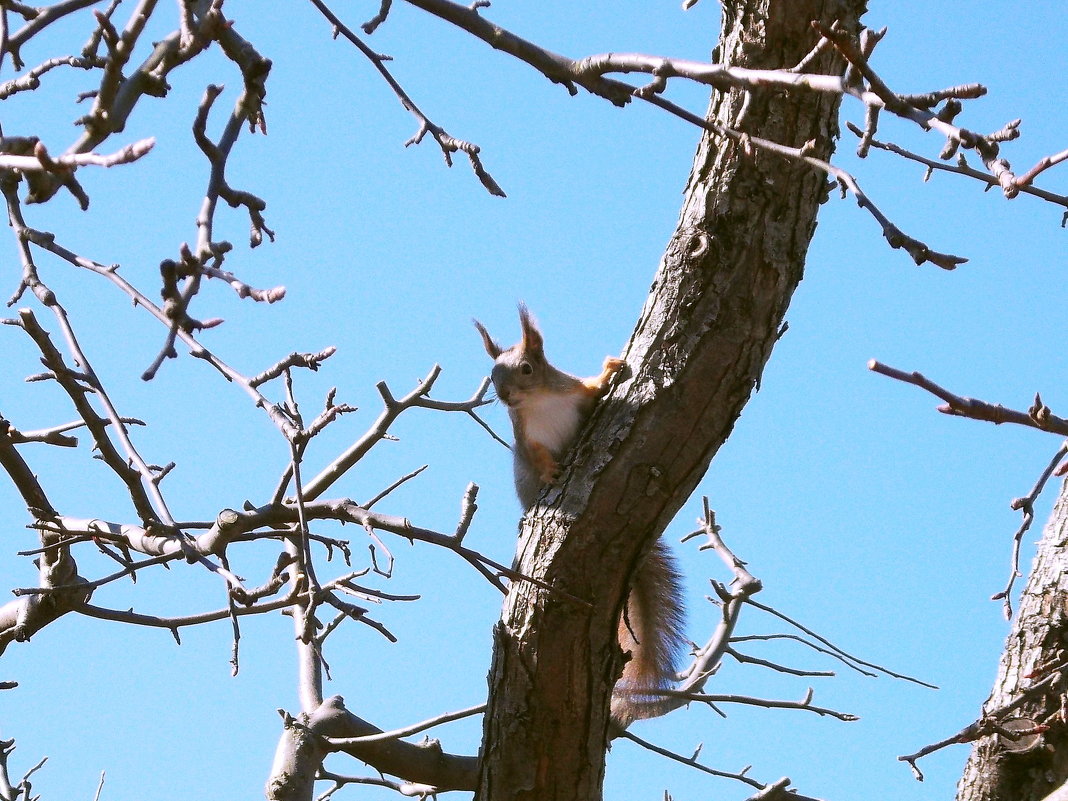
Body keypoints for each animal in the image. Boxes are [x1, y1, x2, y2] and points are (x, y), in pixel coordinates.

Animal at [474, 303, 687, 726]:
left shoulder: (576, 395)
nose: (504, 396)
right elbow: (537, 456)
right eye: (492, 375)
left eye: (527, 368)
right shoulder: (527, 439)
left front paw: (609, 371)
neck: (537, 401)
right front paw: (550, 473)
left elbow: (592, 390)